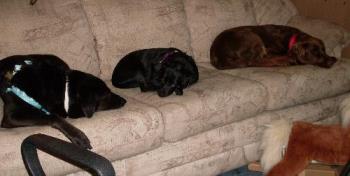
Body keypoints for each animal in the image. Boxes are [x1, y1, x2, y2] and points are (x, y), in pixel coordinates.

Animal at [209, 24, 338, 69]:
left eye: (324, 50)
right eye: (315, 53)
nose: (334, 60)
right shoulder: (269, 50)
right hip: (251, 35)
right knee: (256, 61)